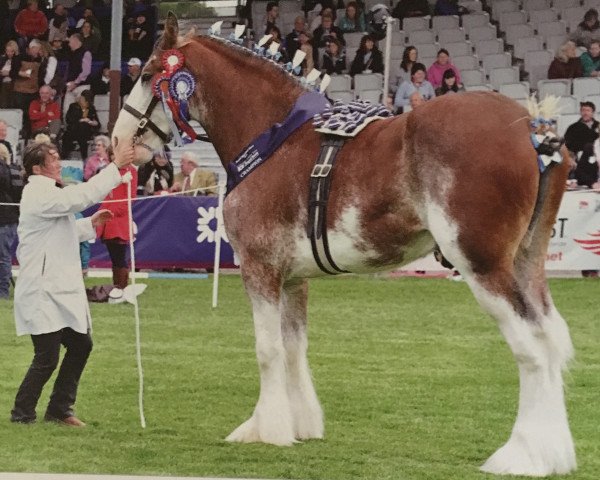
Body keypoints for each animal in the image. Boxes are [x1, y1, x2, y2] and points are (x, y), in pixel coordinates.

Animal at [112, 15, 576, 476]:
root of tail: (532, 127)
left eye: (149, 75)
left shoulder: (260, 269)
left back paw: (520, 455)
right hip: (526, 264)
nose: (117, 143)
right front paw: (301, 424)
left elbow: (267, 350)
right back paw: (554, 453)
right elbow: (294, 347)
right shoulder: (292, 279)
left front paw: (266, 429)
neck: (274, 139)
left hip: (482, 266)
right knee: (551, 339)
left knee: (532, 350)